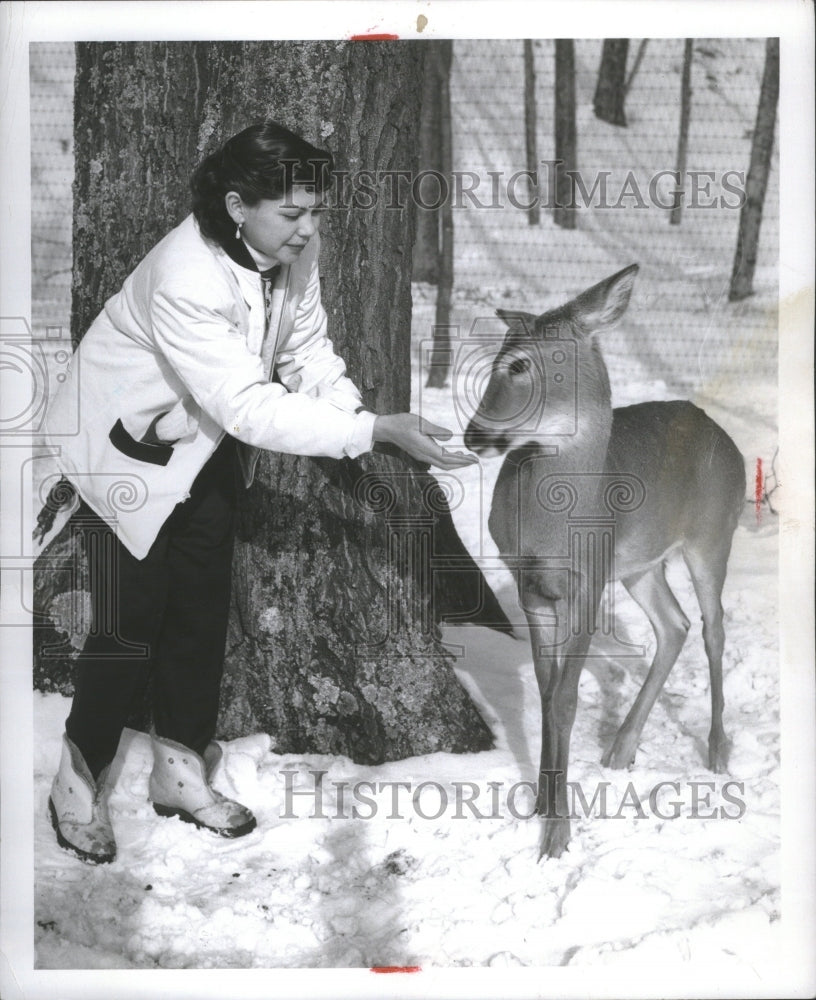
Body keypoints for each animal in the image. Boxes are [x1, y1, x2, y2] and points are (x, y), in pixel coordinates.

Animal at [462, 266, 744, 860]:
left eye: (518, 364)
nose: (473, 435)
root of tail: (726, 438)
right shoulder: (531, 585)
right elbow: (546, 692)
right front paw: (542, 804)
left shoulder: (588, 583)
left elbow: (567, 697)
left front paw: (557, 836)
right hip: (640, 566)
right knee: (674, 624)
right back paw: (621, 748)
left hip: (712, 536)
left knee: (713, 627)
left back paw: (716, 751)